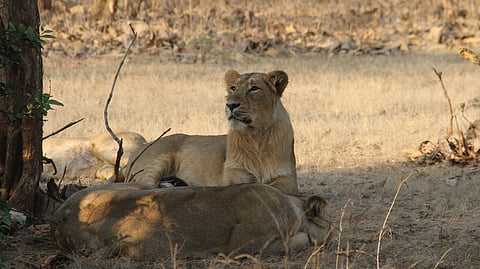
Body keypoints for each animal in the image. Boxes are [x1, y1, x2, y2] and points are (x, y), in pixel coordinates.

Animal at [124, 69, 296, 193]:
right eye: (233, 88)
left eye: (254, 88)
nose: (230, 105)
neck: (256, 136)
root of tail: (137, 150)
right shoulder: (234, 176)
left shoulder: (287, 179)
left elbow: (273, 186)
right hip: (158, 160)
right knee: (145, 185)